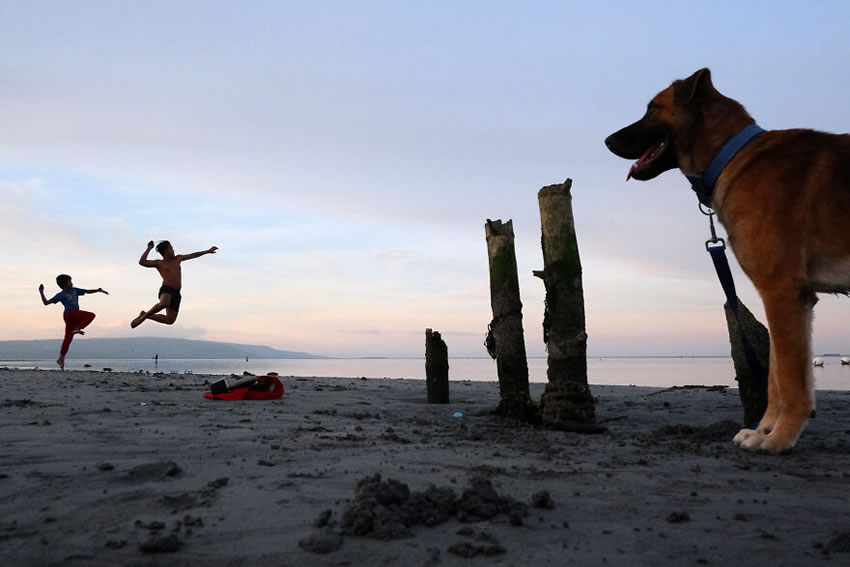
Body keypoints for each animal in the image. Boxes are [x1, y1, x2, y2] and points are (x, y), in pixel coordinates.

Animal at [604, 69, 848, 454]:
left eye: (653, 108)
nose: (607, 140)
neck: (732, 155)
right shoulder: (791, 298)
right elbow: (776, 376)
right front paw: (764, 429)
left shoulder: (781, 291)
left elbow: (790, 379)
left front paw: (779, 439)